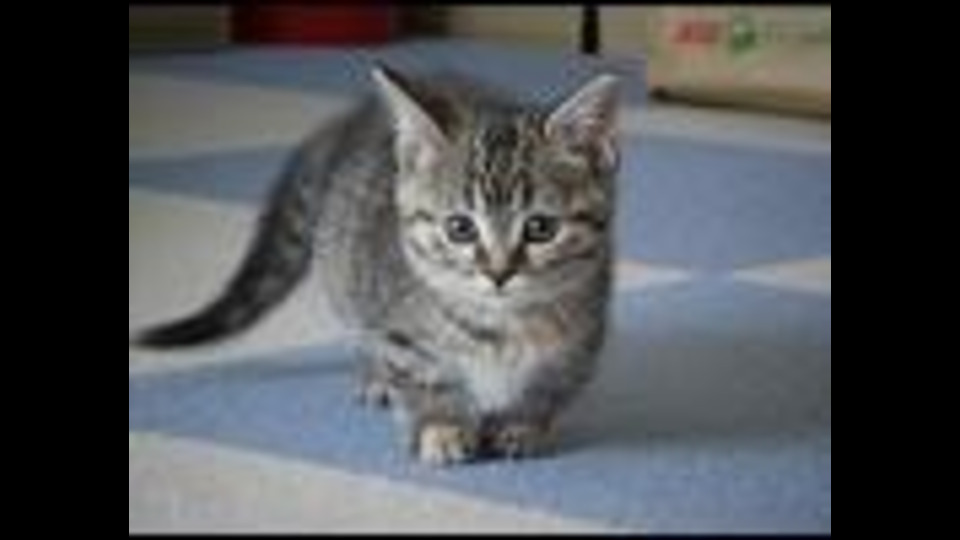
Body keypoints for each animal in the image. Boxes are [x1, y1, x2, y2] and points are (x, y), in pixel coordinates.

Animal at [135, 64, 621, 465]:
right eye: (460, 228)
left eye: (540, 228)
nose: (499, 273)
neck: (501, 325)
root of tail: (354, 118)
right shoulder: (398, 332)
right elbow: (421, 379)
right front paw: (440, 427)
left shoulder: (581, 342)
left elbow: (547, 389)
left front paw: (519, 426)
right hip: (345, 272)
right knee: (362, 332)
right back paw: (375, 378)